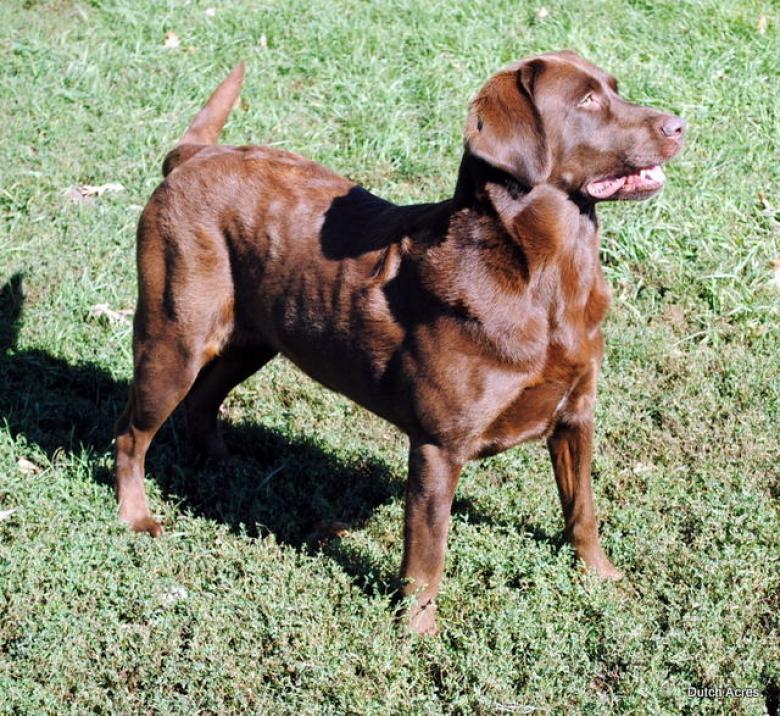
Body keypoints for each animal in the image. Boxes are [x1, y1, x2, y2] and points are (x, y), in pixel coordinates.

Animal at [116, 50, 684, 632]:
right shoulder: (438, 447)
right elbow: (427, 553)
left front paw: (602, 577)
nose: (679, 125)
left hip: (254, 338)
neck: (549, 280)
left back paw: (224, 468)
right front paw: (417, 630)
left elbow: (583, 509)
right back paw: (137, 517)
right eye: (587, 101)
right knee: (131, 433)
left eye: (615, 88)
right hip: (174, 335)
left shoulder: (576, 414)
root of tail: (194, 155)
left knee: (203, 401)